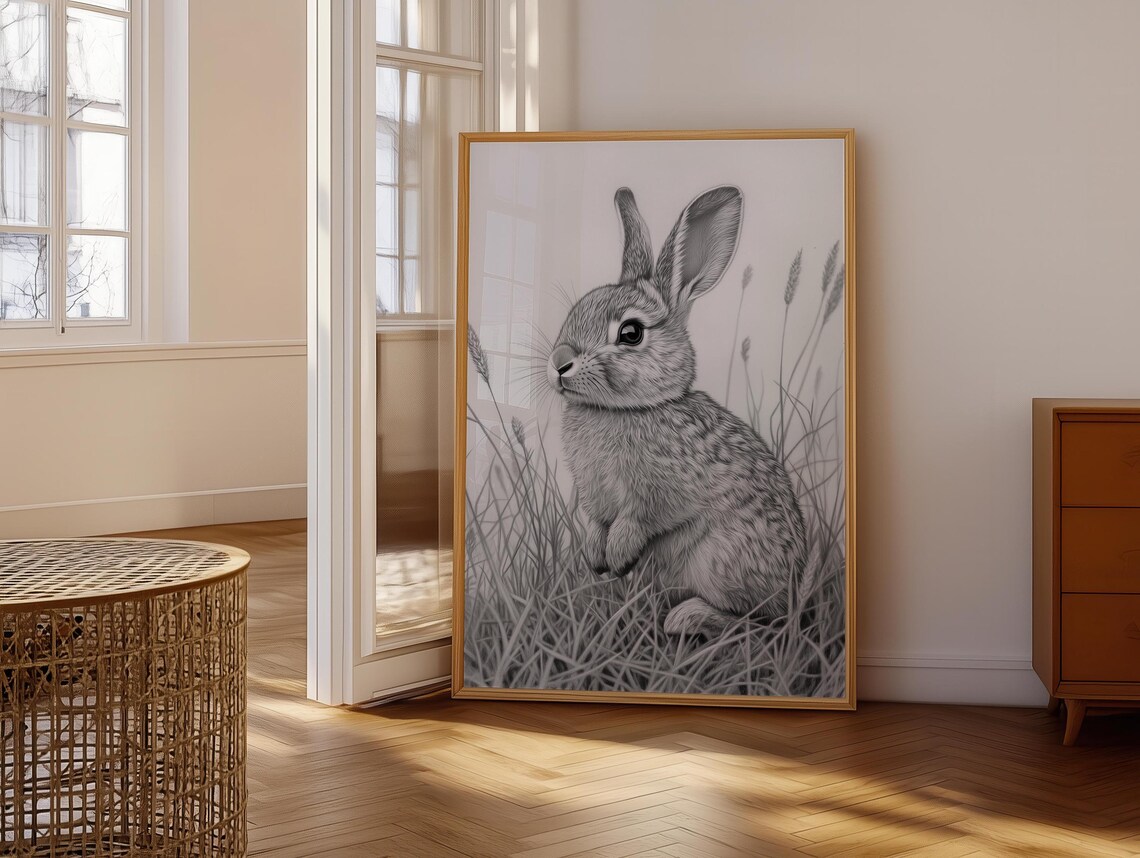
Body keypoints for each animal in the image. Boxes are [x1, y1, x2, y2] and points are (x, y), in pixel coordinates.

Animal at [546, 185, 808, 636]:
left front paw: (618, 555)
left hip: (721, 560)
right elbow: (596, 524)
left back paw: (686, 618)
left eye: (631, 333)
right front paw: (596, 558)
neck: (624, 409)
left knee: (757, 621)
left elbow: (640, 520)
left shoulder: (661, 494)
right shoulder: (594, 498)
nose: (560, 362)